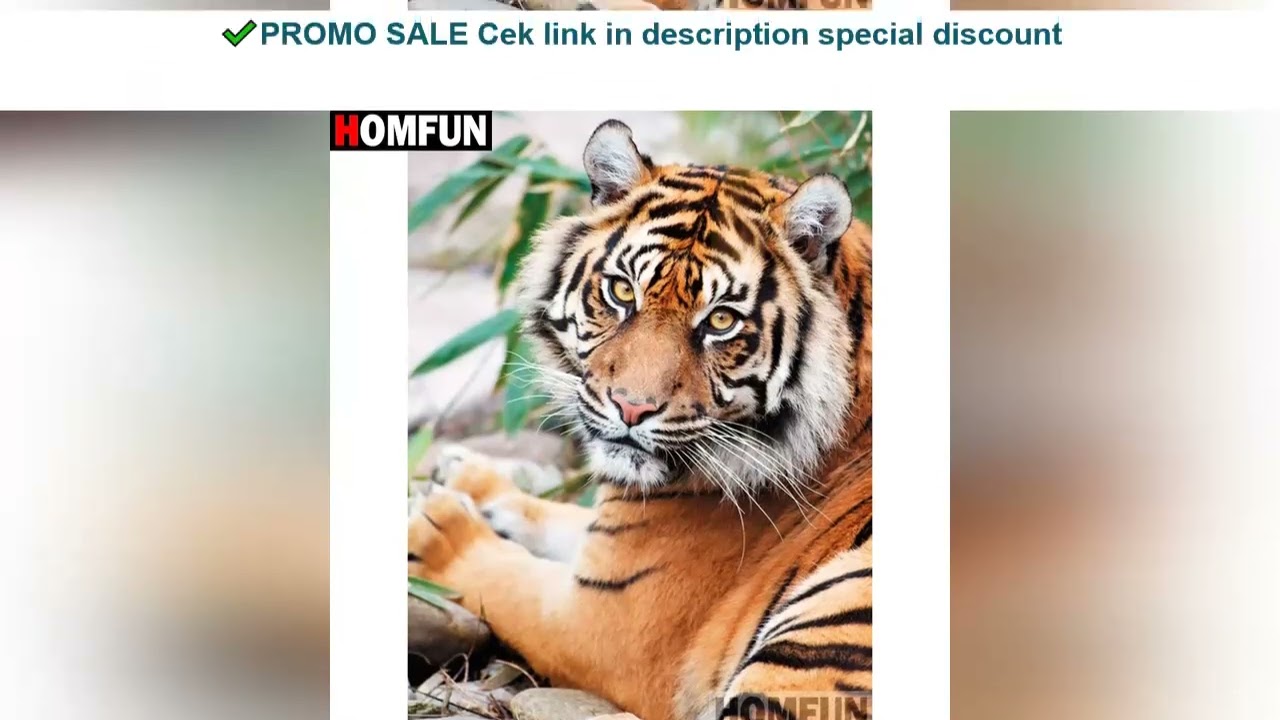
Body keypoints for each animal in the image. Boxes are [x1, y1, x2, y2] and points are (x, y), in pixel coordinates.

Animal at [409, 119, 872, 720]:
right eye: (622, 290)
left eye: (720, 321)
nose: (631, 406)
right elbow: (563, 518)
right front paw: (468, 477)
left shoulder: (604, 620)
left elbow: (504, 576)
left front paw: (437, 526)